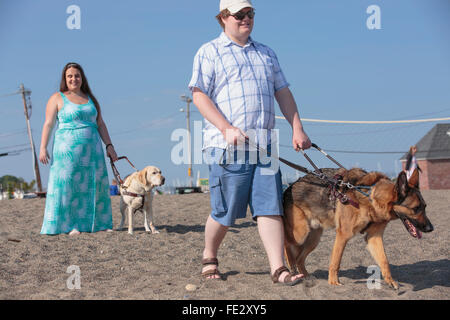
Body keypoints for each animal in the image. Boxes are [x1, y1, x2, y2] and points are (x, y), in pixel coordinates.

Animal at [284, 168, 434, 290]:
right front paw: (333, 282)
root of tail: (288, 188)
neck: (371, 197)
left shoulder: (374, 238)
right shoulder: (343, 235)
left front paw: (390, 281)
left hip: (313, 239)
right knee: (286, 243)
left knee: (299, 258)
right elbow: (335, 261)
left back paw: (306, 276)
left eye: (425, 207)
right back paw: (291, 267)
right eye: (416, 208)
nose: (431, 228)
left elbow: (384, 261)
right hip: (301, 233)